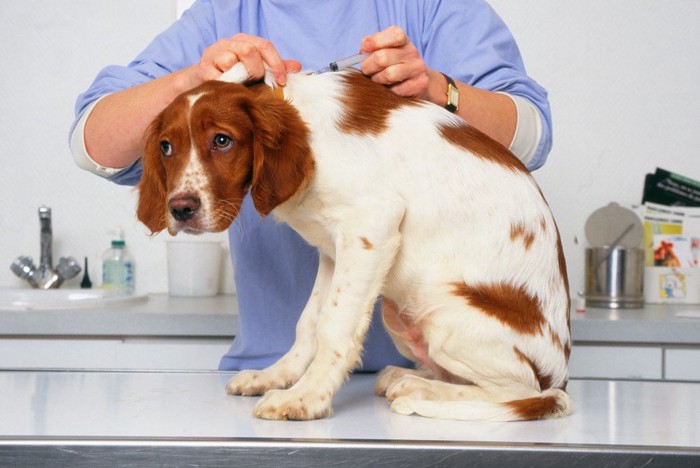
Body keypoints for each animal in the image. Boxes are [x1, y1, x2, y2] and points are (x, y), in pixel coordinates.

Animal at [138, 63, 576, 420]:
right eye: (166, 147)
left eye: (222, 141)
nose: (180, 209)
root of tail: (560, 374)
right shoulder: (334, 249)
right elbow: (309, 322)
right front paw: (276, 376)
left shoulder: (372, 226)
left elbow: (334, 326)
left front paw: (306, 398)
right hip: (402, 316)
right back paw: (406, 377)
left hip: (441, 305)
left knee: (523, 393)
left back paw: (420, 390)